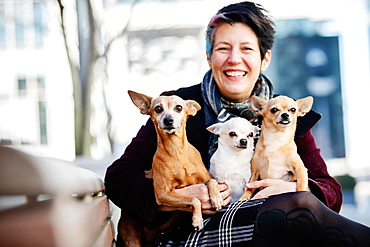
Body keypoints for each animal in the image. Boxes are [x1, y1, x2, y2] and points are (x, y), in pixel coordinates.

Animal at [123, 91, 224, 245]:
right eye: (158, 109)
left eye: (179, 108)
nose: (168, 120)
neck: (176, 151)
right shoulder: (163, 194)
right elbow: (194, 200)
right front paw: (197, 220)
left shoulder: (206, 177)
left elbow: (212, 181)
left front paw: (216, 198)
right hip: (132, 239)